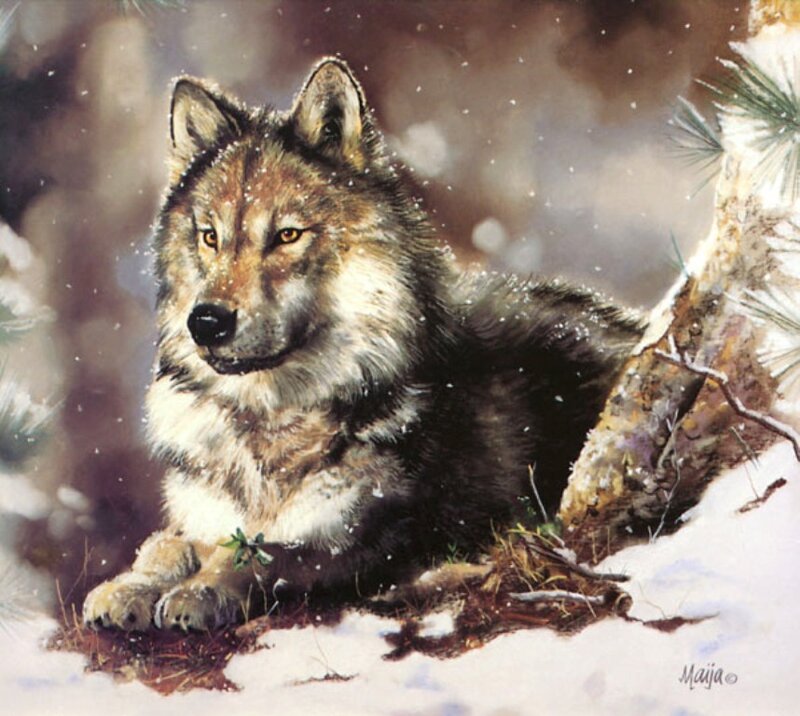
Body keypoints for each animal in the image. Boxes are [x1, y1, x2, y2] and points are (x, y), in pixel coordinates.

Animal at [83, 58, 642, 631]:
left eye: (287, 235)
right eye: (210, 237)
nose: (207, 322)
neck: (270, 423)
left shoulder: (387, 534)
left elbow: (267, 552)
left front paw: (202, 590)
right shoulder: (205, 514)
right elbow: (167, 544)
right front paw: (130, 586)